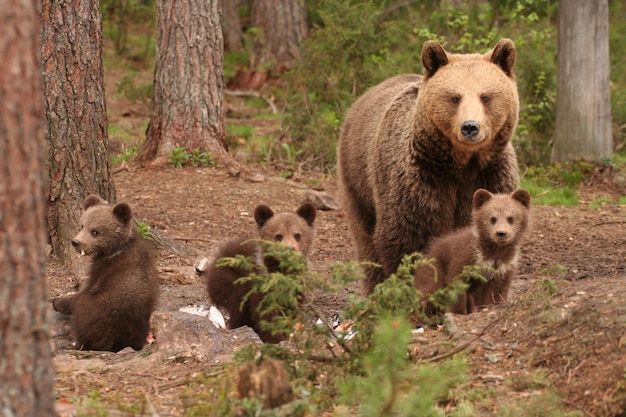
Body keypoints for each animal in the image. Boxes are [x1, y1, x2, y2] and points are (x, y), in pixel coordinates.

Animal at [338, 39, 520, 292]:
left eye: (485, 97)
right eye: (455, 97)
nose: (470, 127)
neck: (462, 163)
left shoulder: (491, 174)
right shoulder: (422, 178)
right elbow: (409, 239)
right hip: (358, 178)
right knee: (367, 240)